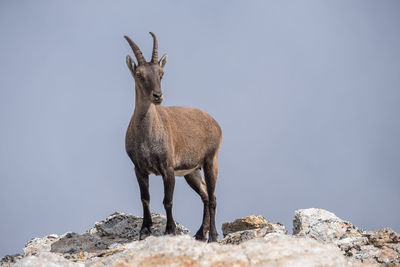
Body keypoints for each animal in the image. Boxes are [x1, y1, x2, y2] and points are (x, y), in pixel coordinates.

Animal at [123, 32, 222, 242]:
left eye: (161, 73)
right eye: (139, 74)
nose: (157, 96)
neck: (147, 135)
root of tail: (215, 122)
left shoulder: (167, 168)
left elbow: (167, 200)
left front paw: (170, 230)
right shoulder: (139, 169)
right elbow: (145, 198)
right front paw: (144, 230)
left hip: (211, 161)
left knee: (212, 197)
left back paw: (213, 235)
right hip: (191, 171)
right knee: (205, 195)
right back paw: (200, 233)